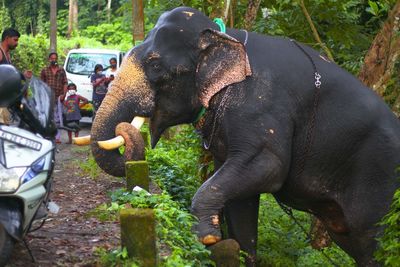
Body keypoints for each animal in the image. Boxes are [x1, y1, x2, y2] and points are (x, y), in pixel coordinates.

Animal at [90, 6, 400, 267]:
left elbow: (268, 166)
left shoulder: (260, 105)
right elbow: (240, 199)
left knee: (373, 241)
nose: (122, 129)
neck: (226, 35)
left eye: (155, 65)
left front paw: (207, 237)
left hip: (380, 182)